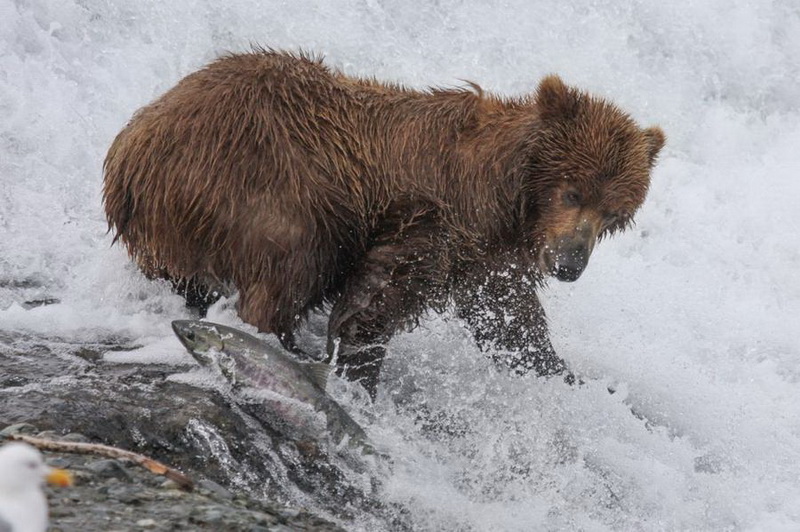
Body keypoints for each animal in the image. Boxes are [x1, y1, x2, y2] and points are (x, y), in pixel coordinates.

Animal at [104, 51, 664, 400]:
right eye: (573, 191)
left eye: (614, 214)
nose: (569, 263)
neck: (509, 195)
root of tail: (132, 152)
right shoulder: (438, 215)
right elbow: (378, 298)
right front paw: (356, 370)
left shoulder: (487, 256)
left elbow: (510, 320)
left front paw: (566, 375)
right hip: (266, 181)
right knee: (287, 271)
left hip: (168, 232)